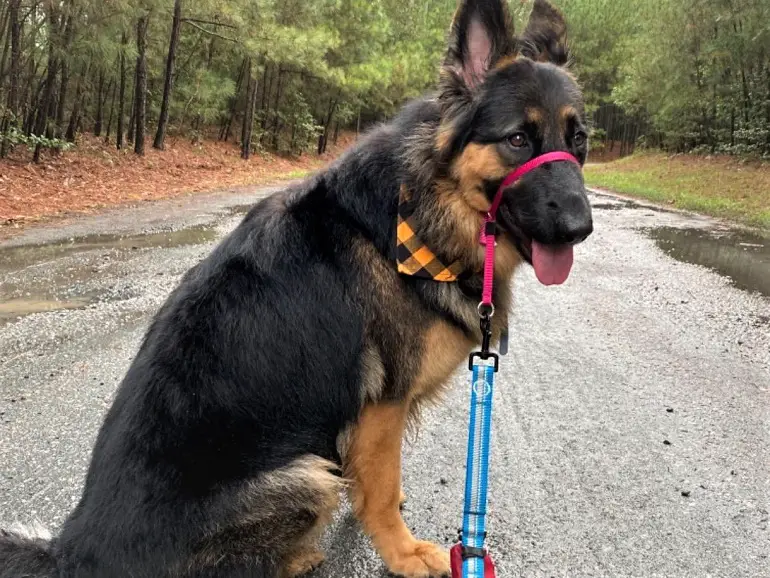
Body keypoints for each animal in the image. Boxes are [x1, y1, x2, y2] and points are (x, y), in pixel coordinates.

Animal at [0, 1, 592, 576]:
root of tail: (73, 552)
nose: (581, 227)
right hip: (306, 474)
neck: (422, 209)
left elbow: (374, 481)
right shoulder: (383, 405)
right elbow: (381, 489)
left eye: (579, 140)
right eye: (517, 139)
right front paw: (403, 554)